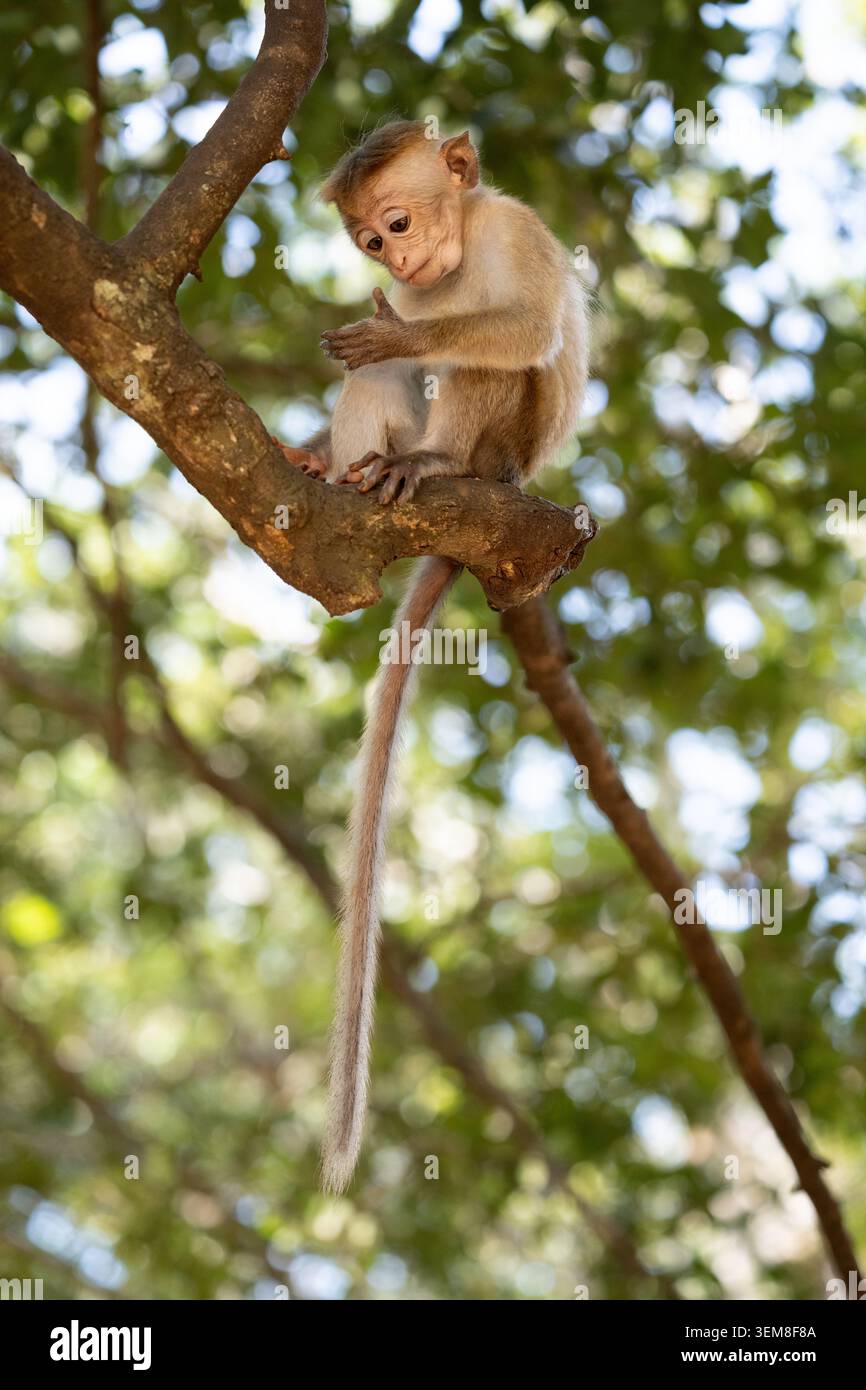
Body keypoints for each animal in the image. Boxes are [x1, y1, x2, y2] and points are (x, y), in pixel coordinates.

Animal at [276, 121, 589, 1193]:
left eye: (400, 224)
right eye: (371, 241)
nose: (399, 262)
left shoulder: (516, 232)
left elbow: (523, 327)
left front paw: (400, 335)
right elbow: (382, 361)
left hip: (510, 459)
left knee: (493, 366)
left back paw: (439, 464)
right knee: (380, 399)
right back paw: (344, 467)